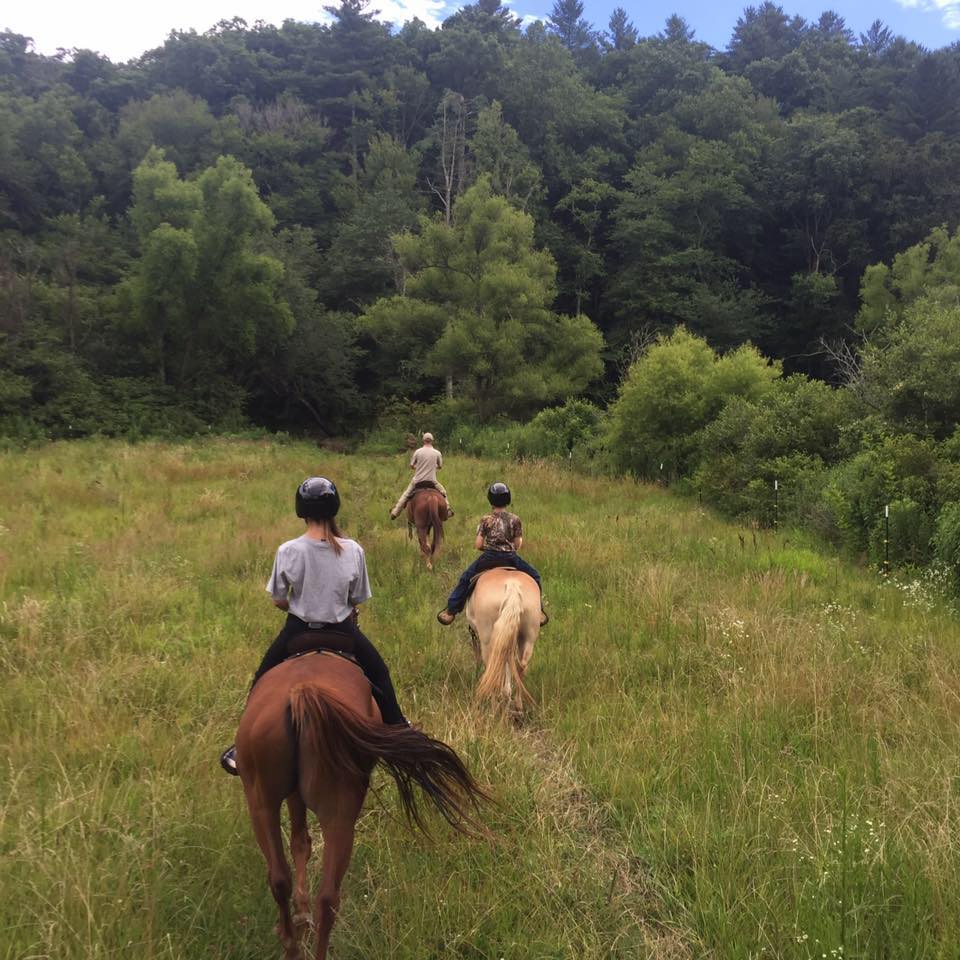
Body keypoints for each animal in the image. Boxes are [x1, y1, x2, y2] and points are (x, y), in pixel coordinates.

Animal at [233, 648, 488, 956]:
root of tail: (302, 692)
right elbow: (300, 842)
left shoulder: (294, 795)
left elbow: (300, 842)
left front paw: (301, 914)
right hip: (291, 807)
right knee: (303, 887)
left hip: (279, 805)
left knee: (303, 887)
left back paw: (293, 943)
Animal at [464, 568, 540, 720]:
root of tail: (512, 586)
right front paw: (507, 692)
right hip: (528, 638)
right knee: (521, 666)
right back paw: (518, 707)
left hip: (487, 639)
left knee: (493, 667)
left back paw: (493, 708)